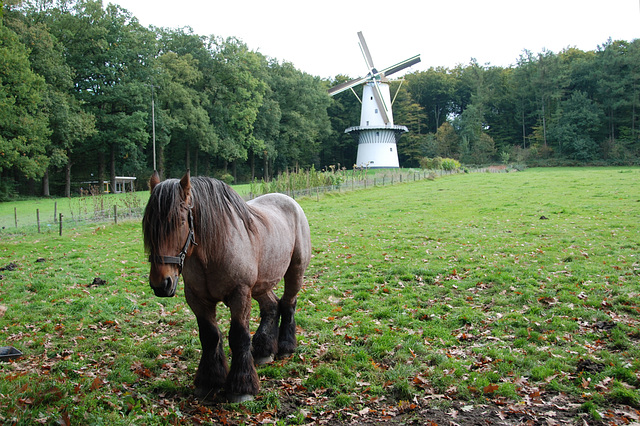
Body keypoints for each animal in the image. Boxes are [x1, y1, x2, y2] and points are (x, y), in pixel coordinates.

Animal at [141, 171, 312, 402]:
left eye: (180, 221)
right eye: (148, 224)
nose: (161, 283)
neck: (214, 248)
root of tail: (291, 202)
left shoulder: (240, 294)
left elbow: (239, 336)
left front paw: (242, 388)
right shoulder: (197, 299)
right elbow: (210, 336)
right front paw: (209, 381)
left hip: (294, 272)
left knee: (288, 304)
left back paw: (285, 347)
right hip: (261, 284)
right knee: (271, 306)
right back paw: (263, 350)